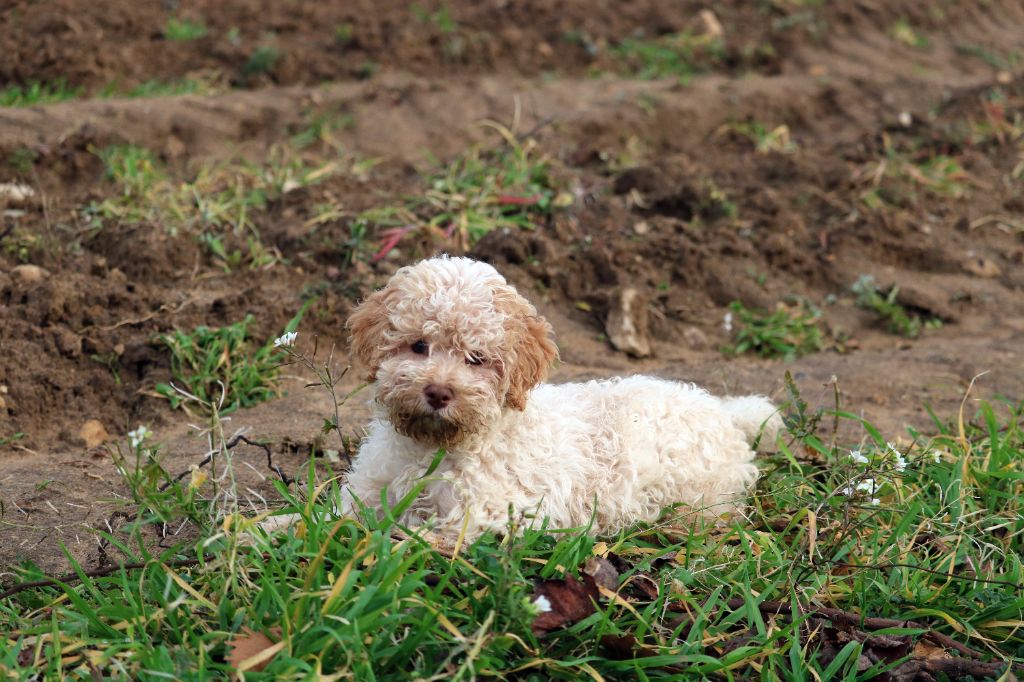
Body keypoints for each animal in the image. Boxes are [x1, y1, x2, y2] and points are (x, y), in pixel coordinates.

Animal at [342, 254, 774, 536]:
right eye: (418, 346)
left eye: (476, 358)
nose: (437, 392)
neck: (435, 446)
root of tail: (725, 412)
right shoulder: (368, 487)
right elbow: (339, 515)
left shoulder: (489, 511)